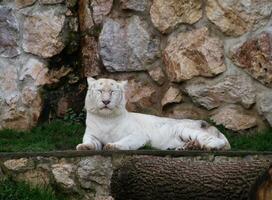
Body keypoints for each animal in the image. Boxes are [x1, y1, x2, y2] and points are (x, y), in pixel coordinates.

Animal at [75, 77, 231, 151]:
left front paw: (112, 146)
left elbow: (125, 141)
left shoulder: (138, 135)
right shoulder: (92, 135)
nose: (106, 101)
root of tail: (214, 128)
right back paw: (189, 147)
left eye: (112, 92)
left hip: (185, 129)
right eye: (100, 91)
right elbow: (89, 142)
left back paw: (206, 147)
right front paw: (83, 147)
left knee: (215, 141)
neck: (106, 118)